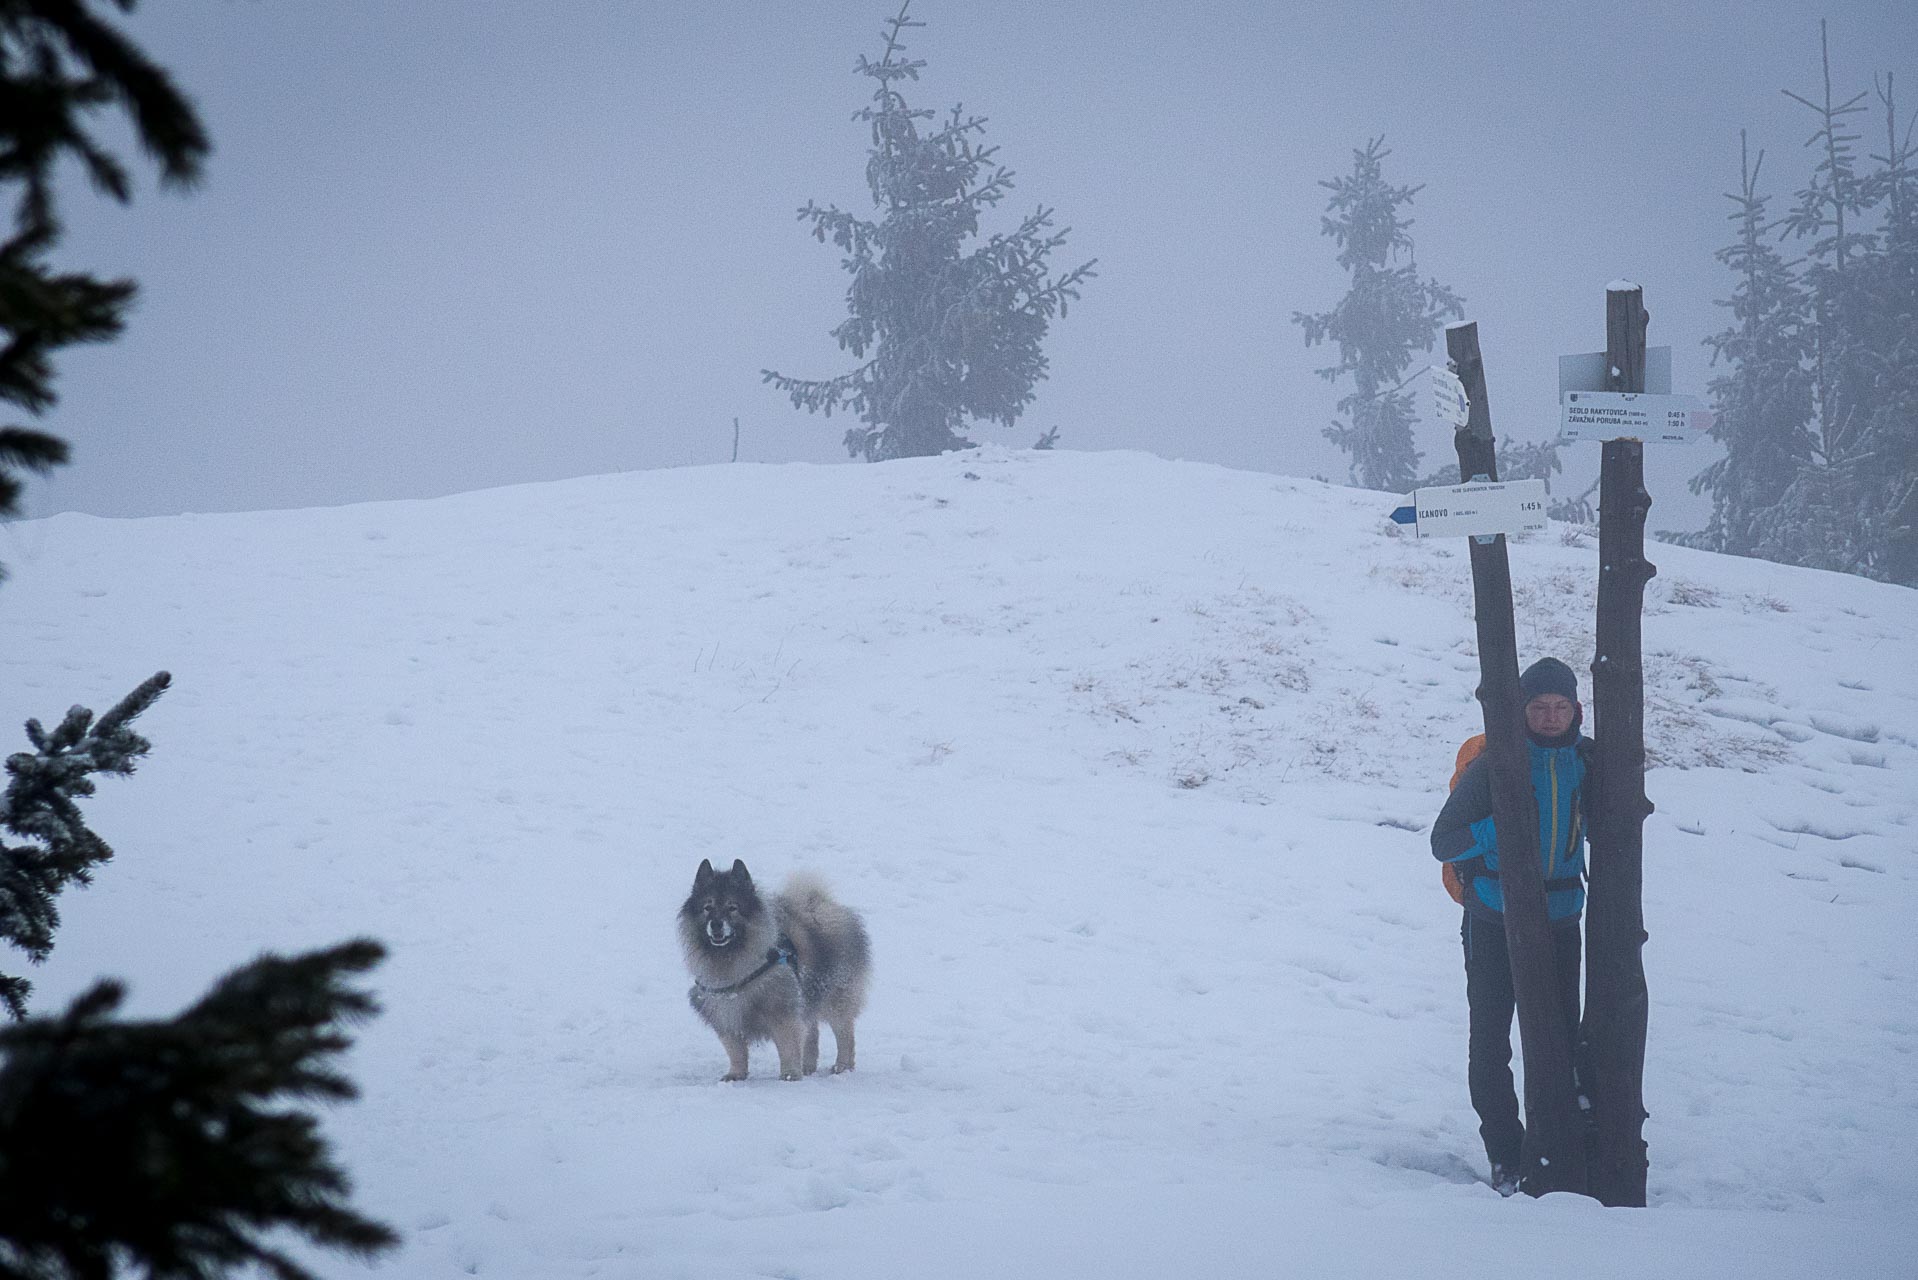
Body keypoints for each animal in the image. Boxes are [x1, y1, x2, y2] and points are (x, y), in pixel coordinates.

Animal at [678, 859, 874, 1082]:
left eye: (732, 907)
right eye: (707, 908)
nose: (716, 924)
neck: (732, 962)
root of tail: (820, 905)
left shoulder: (782, 1012)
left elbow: (788, 1046)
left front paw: (789, 1075)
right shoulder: (725, 1013)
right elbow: (736, 1051)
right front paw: (736, 1074)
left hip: (835, 998)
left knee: (844, 1034)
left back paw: (842, 1067)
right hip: (807, 996)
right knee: (812, 1031)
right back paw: (808, 1067)